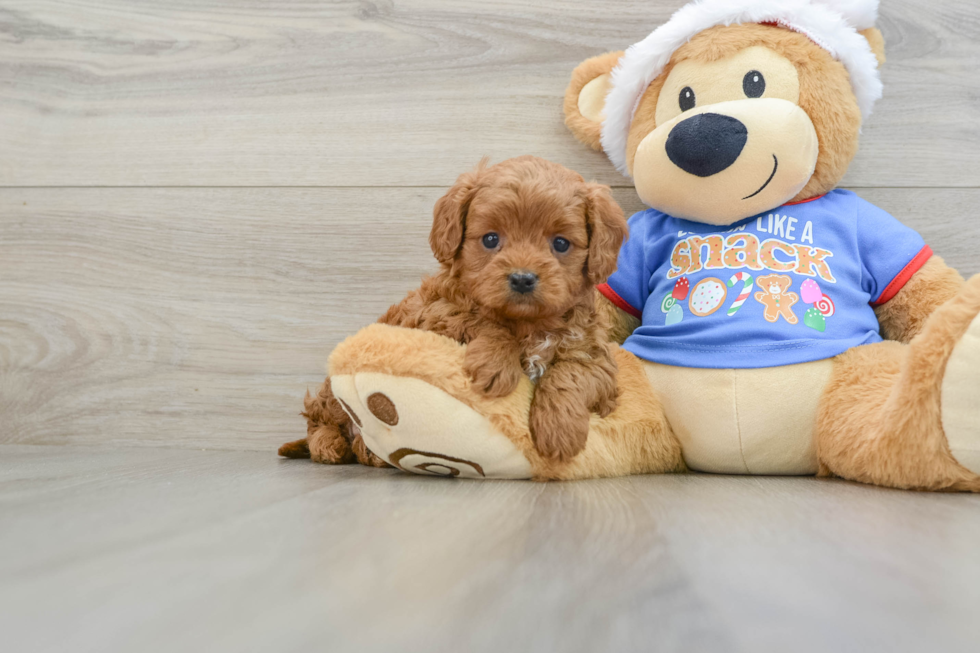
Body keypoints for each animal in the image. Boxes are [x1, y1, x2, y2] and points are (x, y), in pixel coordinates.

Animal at [280, 155, 628, 464]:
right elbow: (479, 320)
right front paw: (496, 366)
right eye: (490, 239)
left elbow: (571, 374)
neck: (528, 323)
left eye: (561, 244)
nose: (522, 278)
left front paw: (560, 432)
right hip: (333, 396)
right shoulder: (436, 315)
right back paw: (330, 445)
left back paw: (369, 453)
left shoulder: (594, 354)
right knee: (319, 417)